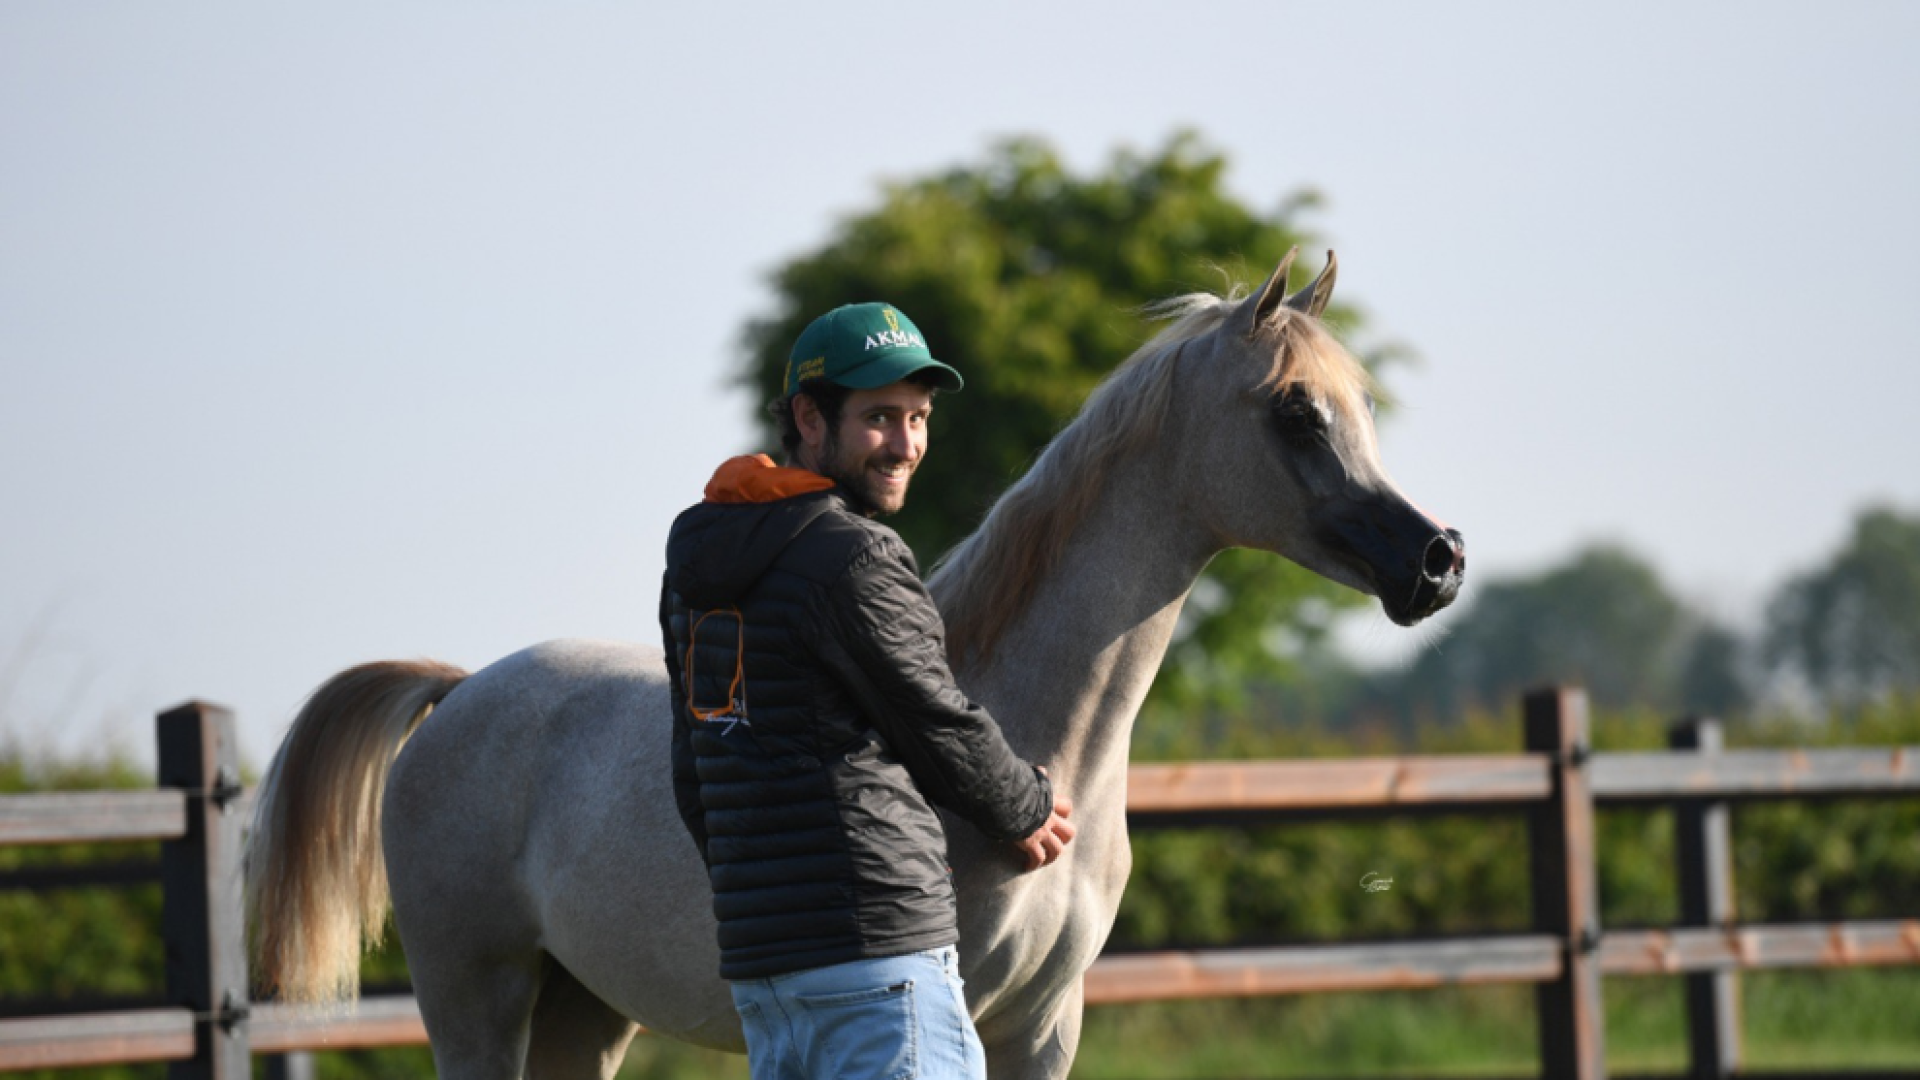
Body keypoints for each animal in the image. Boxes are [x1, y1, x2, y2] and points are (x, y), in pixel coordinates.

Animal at [245, 249, 1465, 1080]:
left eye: (1359, 404)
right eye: (1295, 410)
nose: (1438, 561)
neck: (1040, 739)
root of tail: (457, 693)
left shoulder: (1044, 1025)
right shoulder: (955, 1011)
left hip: (584, 1012)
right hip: (476, 999)